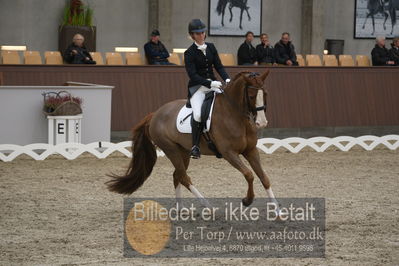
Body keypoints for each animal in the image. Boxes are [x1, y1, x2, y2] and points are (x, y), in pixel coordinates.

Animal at [108, 69, 280, 207]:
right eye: (251, 96)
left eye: (265, 94)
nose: (262, 123)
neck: (235, 115)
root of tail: (155, 114)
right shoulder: (229, 153)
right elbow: (249, 174)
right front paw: (247, 200)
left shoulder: (251, 151)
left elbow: (264, 177)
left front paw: (277, 211)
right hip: (171, 150)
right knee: (184, 177)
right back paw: (208, 207)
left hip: (183, 152)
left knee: (177, 175)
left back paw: (180, 210)